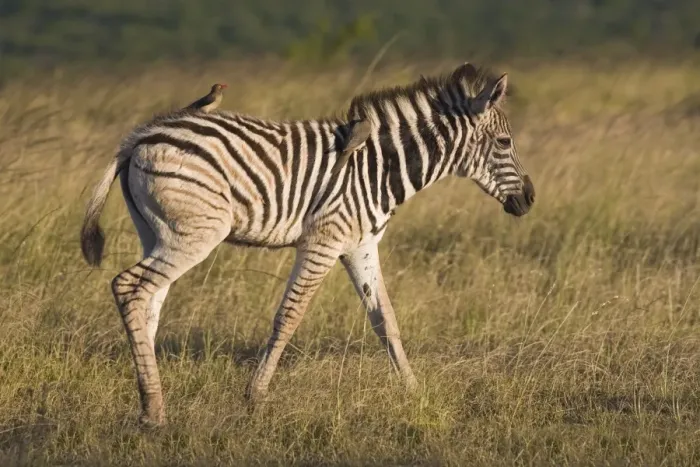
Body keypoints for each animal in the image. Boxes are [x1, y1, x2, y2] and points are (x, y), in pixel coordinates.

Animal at [80, 62, 535, 427]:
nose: (529, 200)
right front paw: (255, 397)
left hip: (157, 233)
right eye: (505, 143)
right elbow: (290, 315)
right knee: (129, 287)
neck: (379, 168)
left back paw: (148, 401)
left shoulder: (360, 245)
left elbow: (385, 320)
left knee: (148, 300)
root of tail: (139, 137)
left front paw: (413, 390)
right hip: (196, 233)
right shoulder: (324, 241)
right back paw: (154, 410)